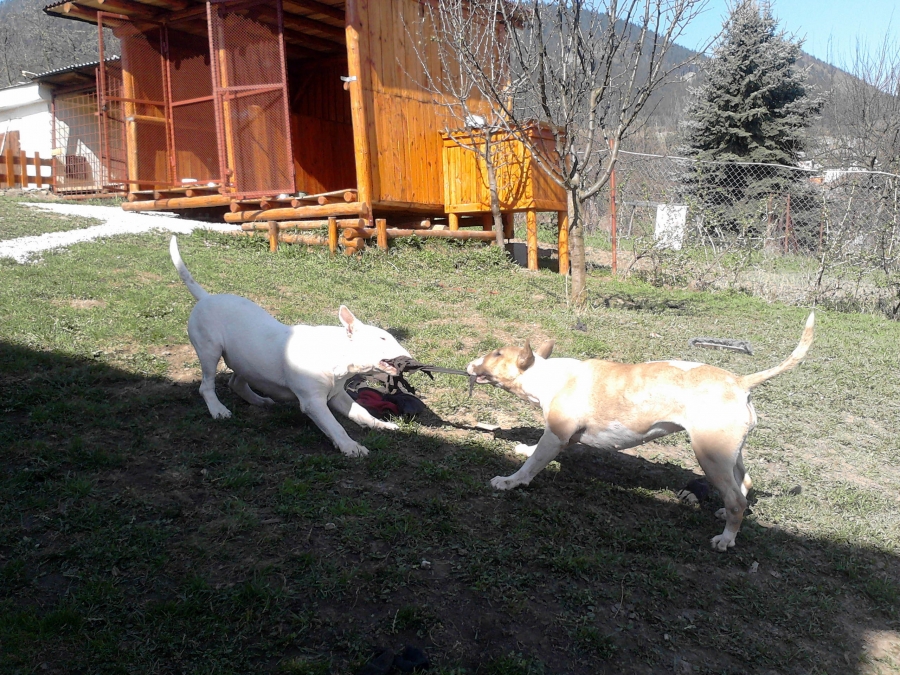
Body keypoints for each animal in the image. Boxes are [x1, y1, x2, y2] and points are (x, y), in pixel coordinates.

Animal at [169, 236, 410, 457]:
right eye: (382, 339)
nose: (409, 359)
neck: (335, 356)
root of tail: (206, 298)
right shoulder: (313, 402)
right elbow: (335, 426)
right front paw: (351, 447)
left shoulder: (337, 395)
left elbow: (361, 412)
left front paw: (383, 425)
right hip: (209, 350)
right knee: (206, 385)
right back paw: (218, 410)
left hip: (245, 360)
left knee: (236, 382)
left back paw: (260, 400)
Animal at [466, 313, 815, 551]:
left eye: (497, 354)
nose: (469, 363)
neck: (545, 375)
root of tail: (740, 382)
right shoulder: (556, 435)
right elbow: (535, 450)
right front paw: (524, 448)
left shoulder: (556, 435)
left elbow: (532, 465)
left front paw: (509, 481)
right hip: (728, 453)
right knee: (744, 483)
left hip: (709, 455)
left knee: (737, 501)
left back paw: (725, 539)